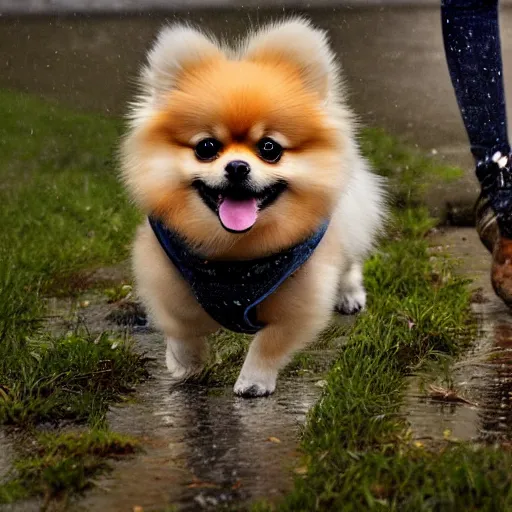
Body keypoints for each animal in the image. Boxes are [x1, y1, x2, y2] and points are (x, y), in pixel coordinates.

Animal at [121, 19, 384, 396]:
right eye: (206, 147)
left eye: (269, 148)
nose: (237, 167)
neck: (236, 256)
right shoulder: (166, 271)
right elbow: (182, 323)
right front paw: (186, 361)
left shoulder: (303, 295)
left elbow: (270, 341)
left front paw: (253, 381)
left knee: (350, 262)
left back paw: (350, 295)